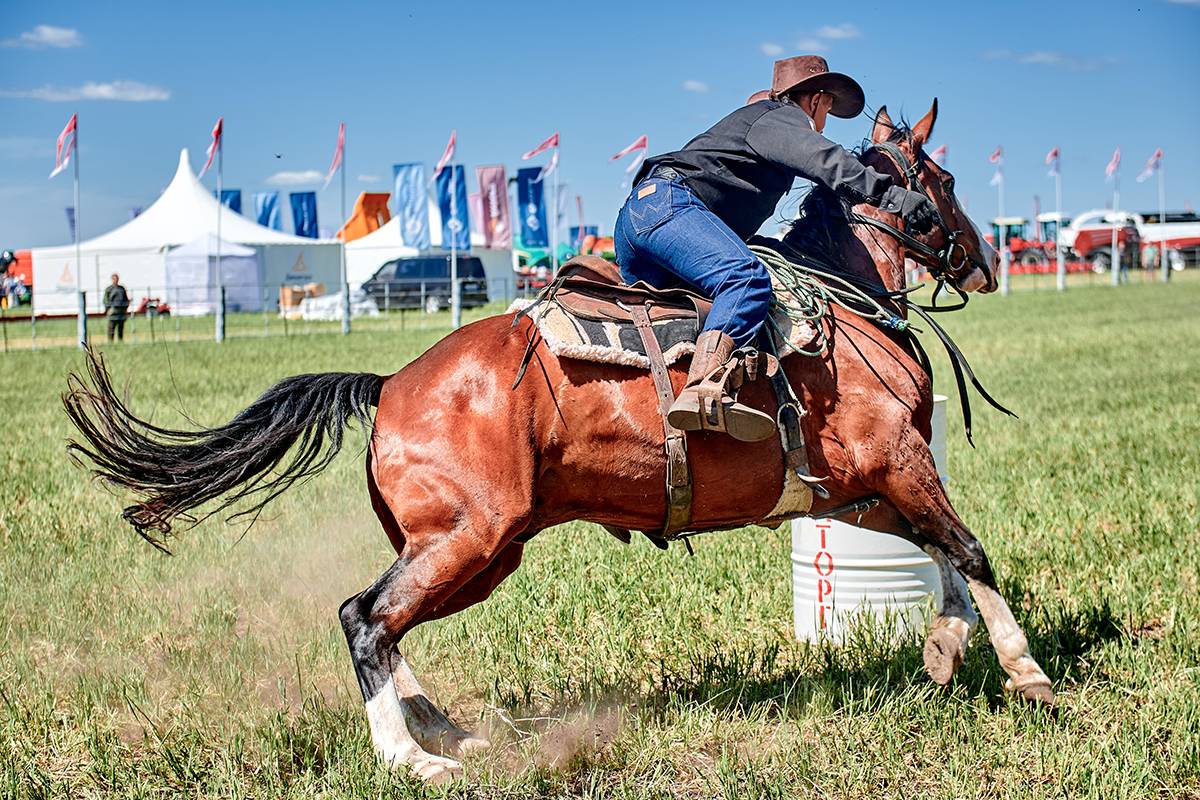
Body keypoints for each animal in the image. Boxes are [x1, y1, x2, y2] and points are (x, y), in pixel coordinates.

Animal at [63, 98, 1051, 782]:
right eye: (944, 182)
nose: (984, 261)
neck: (837, 310)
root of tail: (390, 386)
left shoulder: (853, 489)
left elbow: (942, 552)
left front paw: (942, 649)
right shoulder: (898, 461)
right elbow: (969, 547)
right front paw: (1024, 669)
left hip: (473, 552)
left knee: (387, 625)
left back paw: (452, 731)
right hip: (469, 538)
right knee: (363, 618)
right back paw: (413, 759)